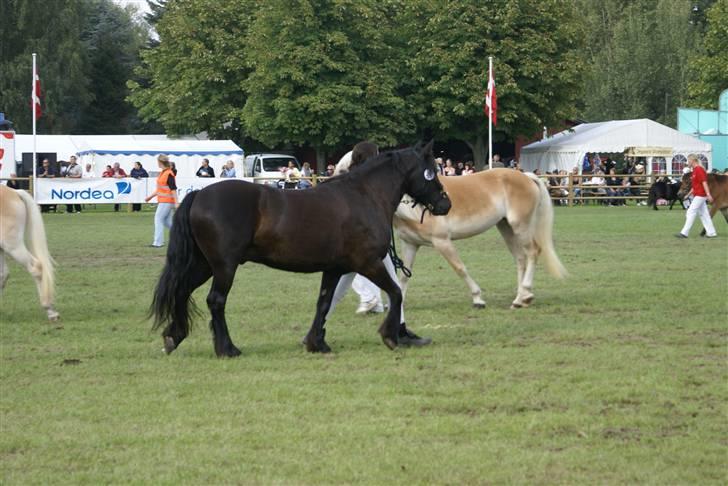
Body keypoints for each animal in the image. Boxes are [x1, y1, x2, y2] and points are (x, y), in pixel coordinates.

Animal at [150, 141, 451, 357]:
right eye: (431, 172)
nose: (445, 204)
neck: (364, 196)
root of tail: (199, 194)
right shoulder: (368, 263)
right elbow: (396, 293)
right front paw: (390, 336)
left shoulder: (335, 269)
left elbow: (324, 302)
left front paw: (316, 343)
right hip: (224, 266)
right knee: (216, 301)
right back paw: (227, 349)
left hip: (204, 264)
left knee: (182, 291)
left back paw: (173, 337)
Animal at [393, 169, 567, 310]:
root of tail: (526, 176)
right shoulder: (410, 244)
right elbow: (404, 275)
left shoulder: (442, 241)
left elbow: (460, 268)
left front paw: (478, 299)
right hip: (506, 228)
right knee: (520, 258)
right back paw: (519, 299)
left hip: (520, 227)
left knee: (533, 252)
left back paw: (525, 295)